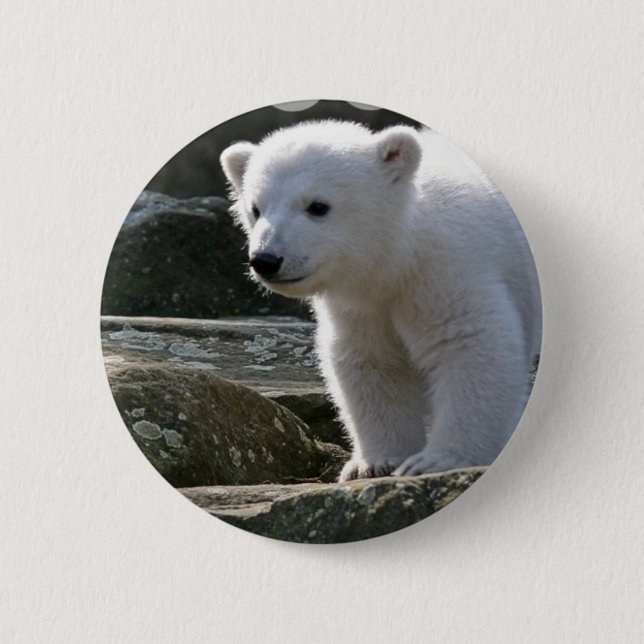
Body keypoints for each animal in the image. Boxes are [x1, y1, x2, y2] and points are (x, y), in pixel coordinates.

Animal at [220, 119, 541, 481]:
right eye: (255, 208)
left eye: (317, 206)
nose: (266, 260)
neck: (397, 256)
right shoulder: (360, 306)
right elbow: (371, 362)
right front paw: (374, 464)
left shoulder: (449, 270)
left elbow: (471, 346)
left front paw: (437, 460)